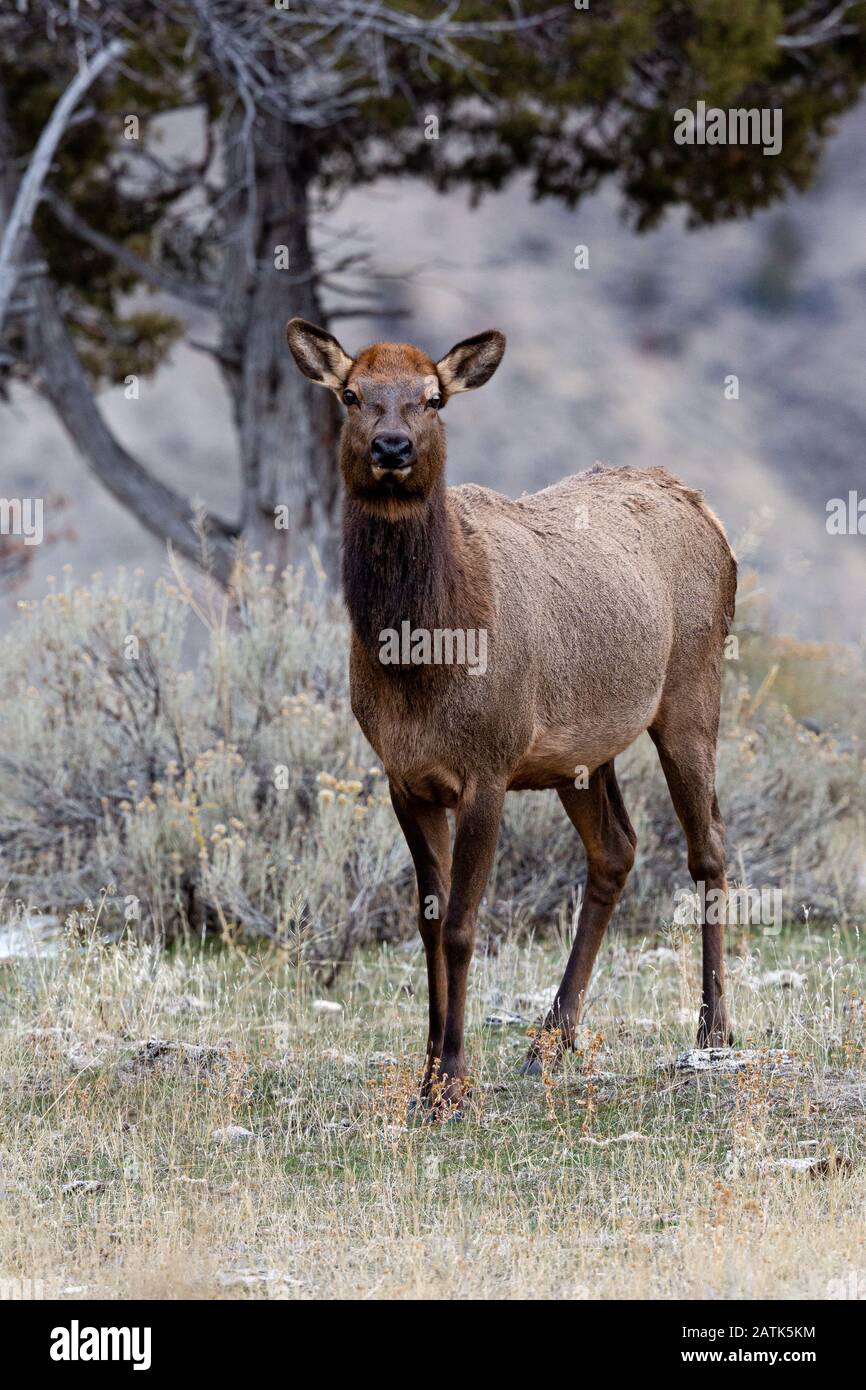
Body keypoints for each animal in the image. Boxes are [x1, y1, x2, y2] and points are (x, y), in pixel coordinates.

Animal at [287, 319, 733, 1112]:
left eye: (432, 398)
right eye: (352, 394)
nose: (393, 448)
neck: (421, 662)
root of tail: (705, 508)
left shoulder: (488, 765)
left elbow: (464, 927)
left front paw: (452, 1084)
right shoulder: (404, 777)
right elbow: (427, 923)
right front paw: (429, 1072)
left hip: (690, 692)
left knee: (707, 843)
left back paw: (713, 1031)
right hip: (579, 753)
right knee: (616, 850)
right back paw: (548, 1041)